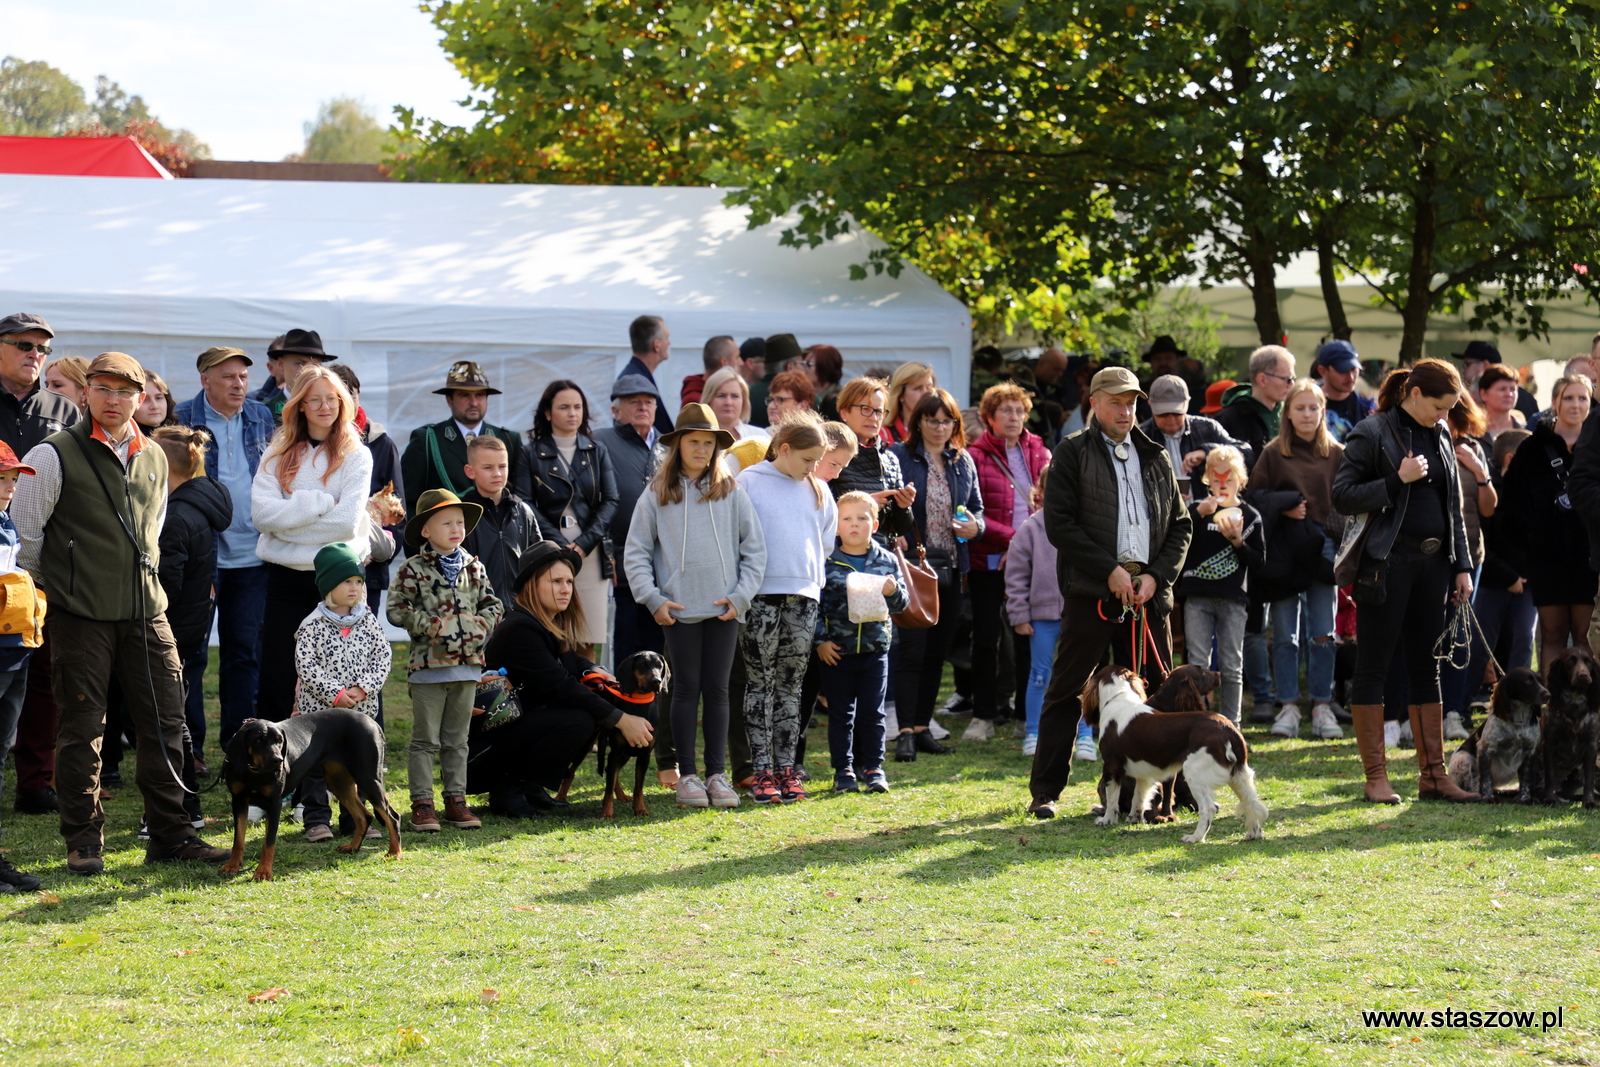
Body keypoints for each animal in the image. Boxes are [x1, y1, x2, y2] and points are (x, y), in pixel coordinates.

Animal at [219, 713, 400, 883]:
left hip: (367, 777)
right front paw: (232, 866)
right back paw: (353, 847)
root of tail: (372, 722)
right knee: (365, 816)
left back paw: (394, 853)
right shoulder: (239, 800)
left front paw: (263, 872)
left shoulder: (274, 803)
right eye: (258, 740)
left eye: (279, 741)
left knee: (393, 817)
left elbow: (268, 842)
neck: (253, 771)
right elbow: (238, 839)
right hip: (338, 781)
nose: (278, 760)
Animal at [1081, 668, 1267, 844]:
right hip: (1238, 775)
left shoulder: (1111, 766)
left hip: (1194, 773)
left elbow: (1112, 799)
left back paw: (1195, 838)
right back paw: (1253, 834)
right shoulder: (1143, 773)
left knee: (1208, 808)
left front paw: (1106, 820)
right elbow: (1139, 797)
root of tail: (1230, 730)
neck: (1119, 697)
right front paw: (1135, 819)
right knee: (1250, 802)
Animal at [1446, 668, 1542, 799]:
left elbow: (1526, 779)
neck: (1518, 721)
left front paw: (1524, 797)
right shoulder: (1485, 749)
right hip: (1463, 758)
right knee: (1471, 785)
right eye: (1528, 682)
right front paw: (1487, 797)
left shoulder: (1530, 750)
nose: (1548, 694)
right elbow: (1485, 779)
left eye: (1540, 681)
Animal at [1536, 643, 1600, 809]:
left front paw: (1589, 801)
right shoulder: (1549, 745)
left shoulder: (1591, 746)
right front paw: (1549, 798)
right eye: (1570, 661)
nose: (1583, 675)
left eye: (1588, 661)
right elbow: (1550, 776)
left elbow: (1589, 779)